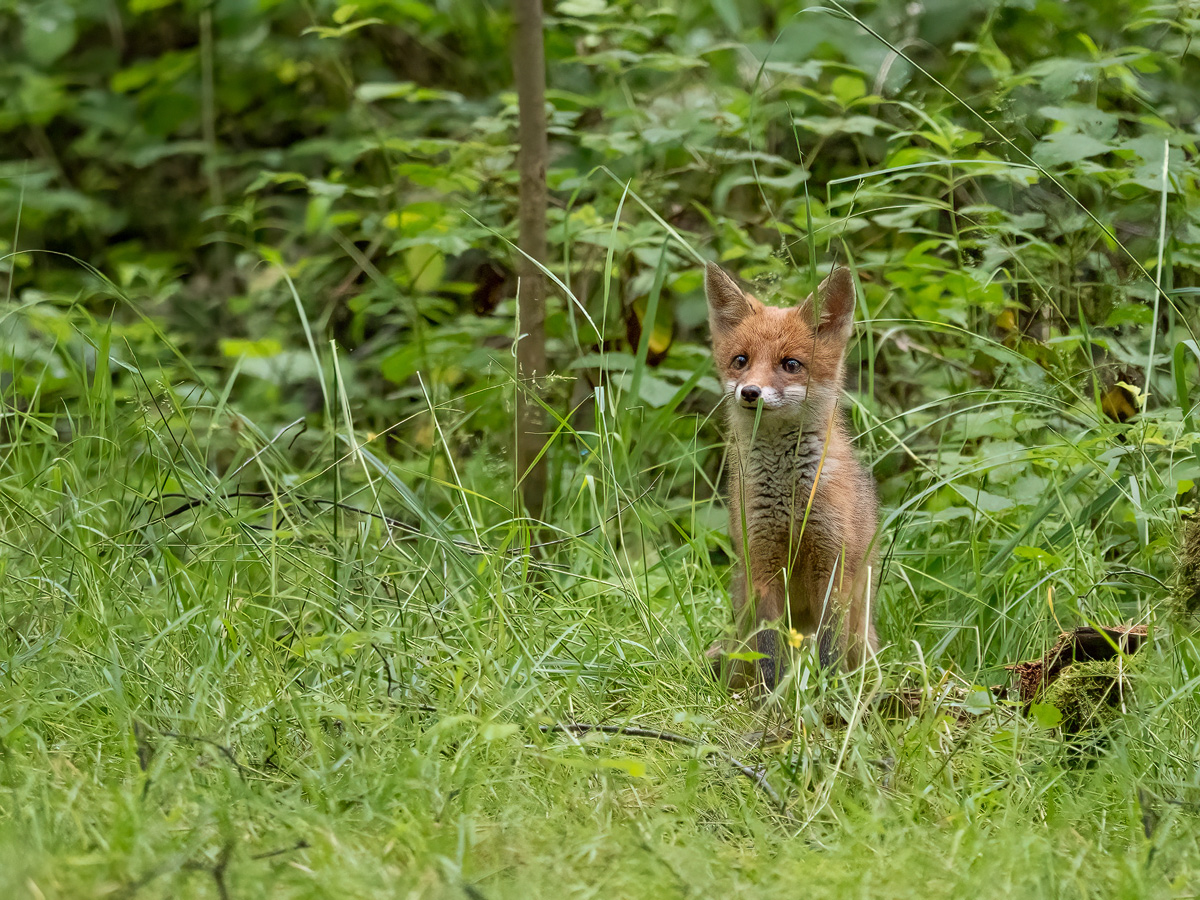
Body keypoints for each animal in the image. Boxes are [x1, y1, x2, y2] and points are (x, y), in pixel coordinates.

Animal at [704, 261, 880, 691]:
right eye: (741, 360)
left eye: (791, 364)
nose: (750, 392)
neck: (788, 495)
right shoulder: (762, 563)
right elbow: (770, 656)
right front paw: (769, 700)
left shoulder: (833, 565)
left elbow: (829, 653)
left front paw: (830, 697)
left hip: (862, 638)